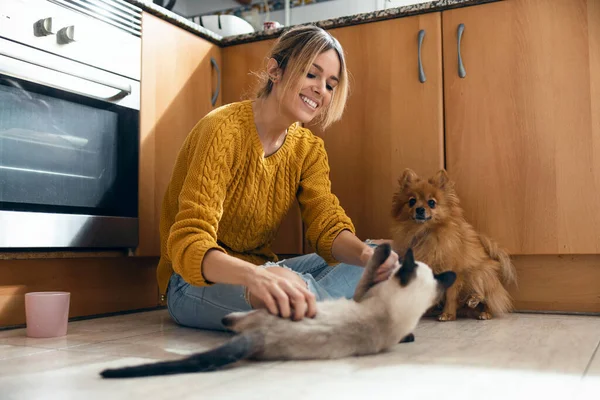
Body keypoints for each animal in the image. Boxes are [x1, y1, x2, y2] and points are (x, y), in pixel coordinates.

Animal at [99, 244, 454, 378]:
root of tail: (258, 338)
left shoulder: (361, 293)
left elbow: (370, 267)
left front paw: (385, 252)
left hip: (253, 316)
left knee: (230, 321)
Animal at [390, 169, 516, 322]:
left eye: (431, 203)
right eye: (412, 201)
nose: (419, 209)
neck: (424, 233)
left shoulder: (452, 272)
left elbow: (450, 296)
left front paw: (448, 314)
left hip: (478, 273)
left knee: (488, 298)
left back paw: (481, 306)